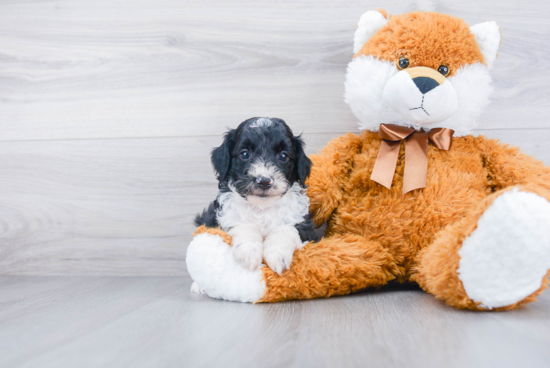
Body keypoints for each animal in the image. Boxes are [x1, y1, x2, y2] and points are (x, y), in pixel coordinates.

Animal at [197, 116, 320, 274]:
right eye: (245, 154)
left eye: (283, 156)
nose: (264, 181)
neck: (262, 208)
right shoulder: (221, 216)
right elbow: (242, 224)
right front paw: (248, 253)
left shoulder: (304, 225)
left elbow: (285, 229)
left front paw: (277, 255)